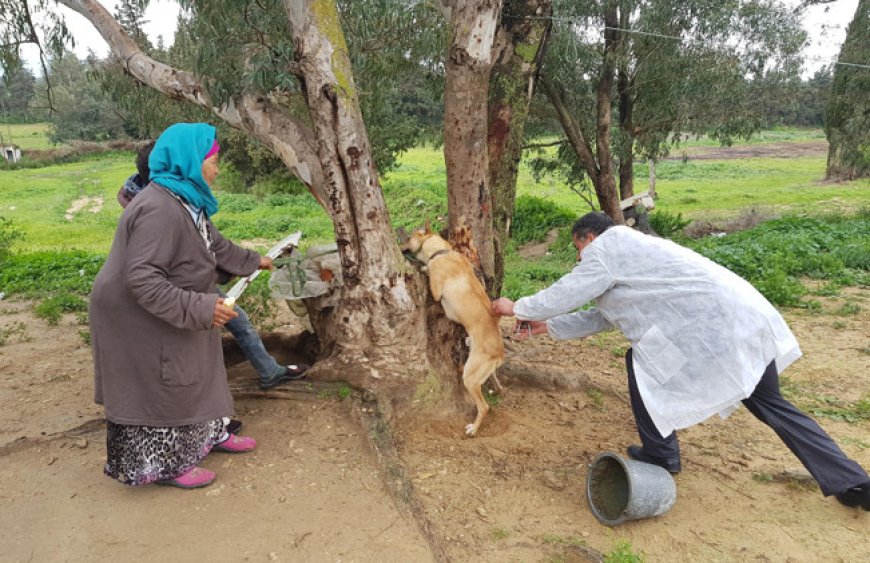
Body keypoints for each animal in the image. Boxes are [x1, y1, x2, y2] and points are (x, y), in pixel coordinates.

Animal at [406, 225, 508, 436]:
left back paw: (473, 429)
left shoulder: (436, 291)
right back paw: (498, 388)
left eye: (410, 237)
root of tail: (499, 353)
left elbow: (428, 272)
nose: (402, 242)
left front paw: (424, 267)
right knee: (493, 382)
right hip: (481, 371)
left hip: (470, 378)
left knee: (484, 407)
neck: (442, 252)